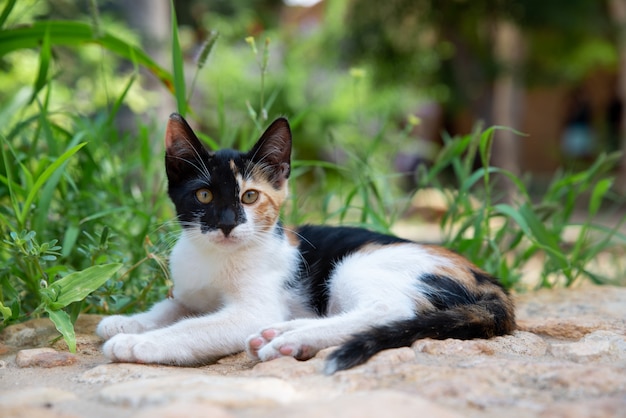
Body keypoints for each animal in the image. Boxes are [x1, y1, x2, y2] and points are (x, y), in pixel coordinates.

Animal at [95, 112, 516, 374]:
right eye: (203, 196)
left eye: (250, 196)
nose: (228, 224)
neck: (215, 257)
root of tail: (489, 281)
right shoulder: (188, 291)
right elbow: (171, 307)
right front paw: (126, 322)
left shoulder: (255, 308)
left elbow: (194, 327)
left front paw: (136, 343)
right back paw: (282, 334)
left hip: (360, 263)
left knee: (390, 310)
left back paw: (290, 340)